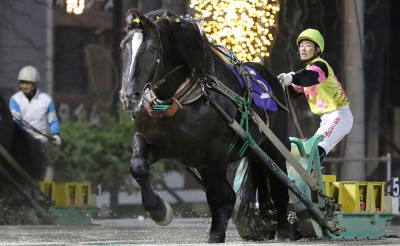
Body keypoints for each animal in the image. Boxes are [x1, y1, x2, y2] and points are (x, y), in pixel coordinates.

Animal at [119, 9, 294, 242]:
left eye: (152, 48)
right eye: (124, 47)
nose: (129, 96)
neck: (177, 103)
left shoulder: (215, 152)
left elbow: (219, 198)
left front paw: (215, 234)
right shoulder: (156, 143)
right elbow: (138, 166)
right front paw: (159, 210)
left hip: (274, 145)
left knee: (279, 187)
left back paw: (285, 230)